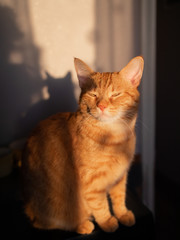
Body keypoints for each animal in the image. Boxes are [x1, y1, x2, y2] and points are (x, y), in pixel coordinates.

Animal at [21, 55, 144, 233]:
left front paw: (122, 214)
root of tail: (28, 208)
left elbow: (119, 197)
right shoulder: (92, 183)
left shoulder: (120, 176)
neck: (115, 137)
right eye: (93, 94)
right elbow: (100, 205)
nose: (102, 106)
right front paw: (108, 221)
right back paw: (83, 225)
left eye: (116, 94)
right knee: (51, 223)